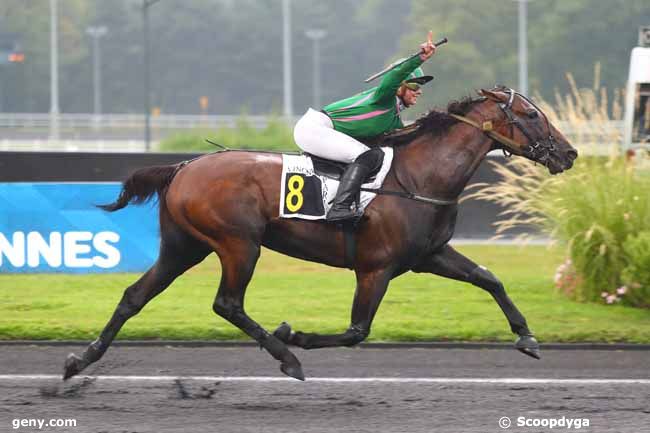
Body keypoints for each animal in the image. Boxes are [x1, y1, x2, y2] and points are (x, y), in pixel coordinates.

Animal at [63, 86, 576, 380]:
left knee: (134, 295)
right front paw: (297, 336)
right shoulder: (376, 268)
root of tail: (185, 166)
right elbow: (356, 331)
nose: (569, 153)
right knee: (227, 303)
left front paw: (526, 337)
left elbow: (489, 277)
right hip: (238, 244)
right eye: (532, 115)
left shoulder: (429, 255)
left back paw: (80, 360)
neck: (419, 177)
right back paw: (286, 356)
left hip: (183, 246)